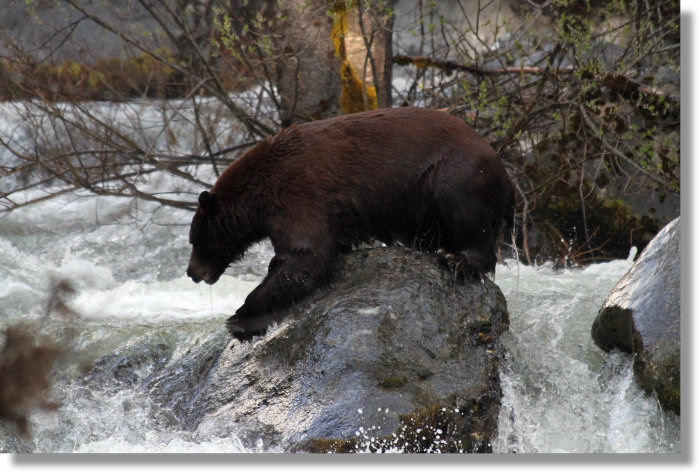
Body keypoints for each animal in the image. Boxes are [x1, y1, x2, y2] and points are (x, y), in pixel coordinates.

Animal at [186, 107, 515, 340]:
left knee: (467, 215)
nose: (191, 272)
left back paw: (457, 258)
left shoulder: (297, 195)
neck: (259, 199)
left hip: (452, 173)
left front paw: (240, 319)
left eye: (194, 239)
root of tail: (504, 169)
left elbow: (306, 257)